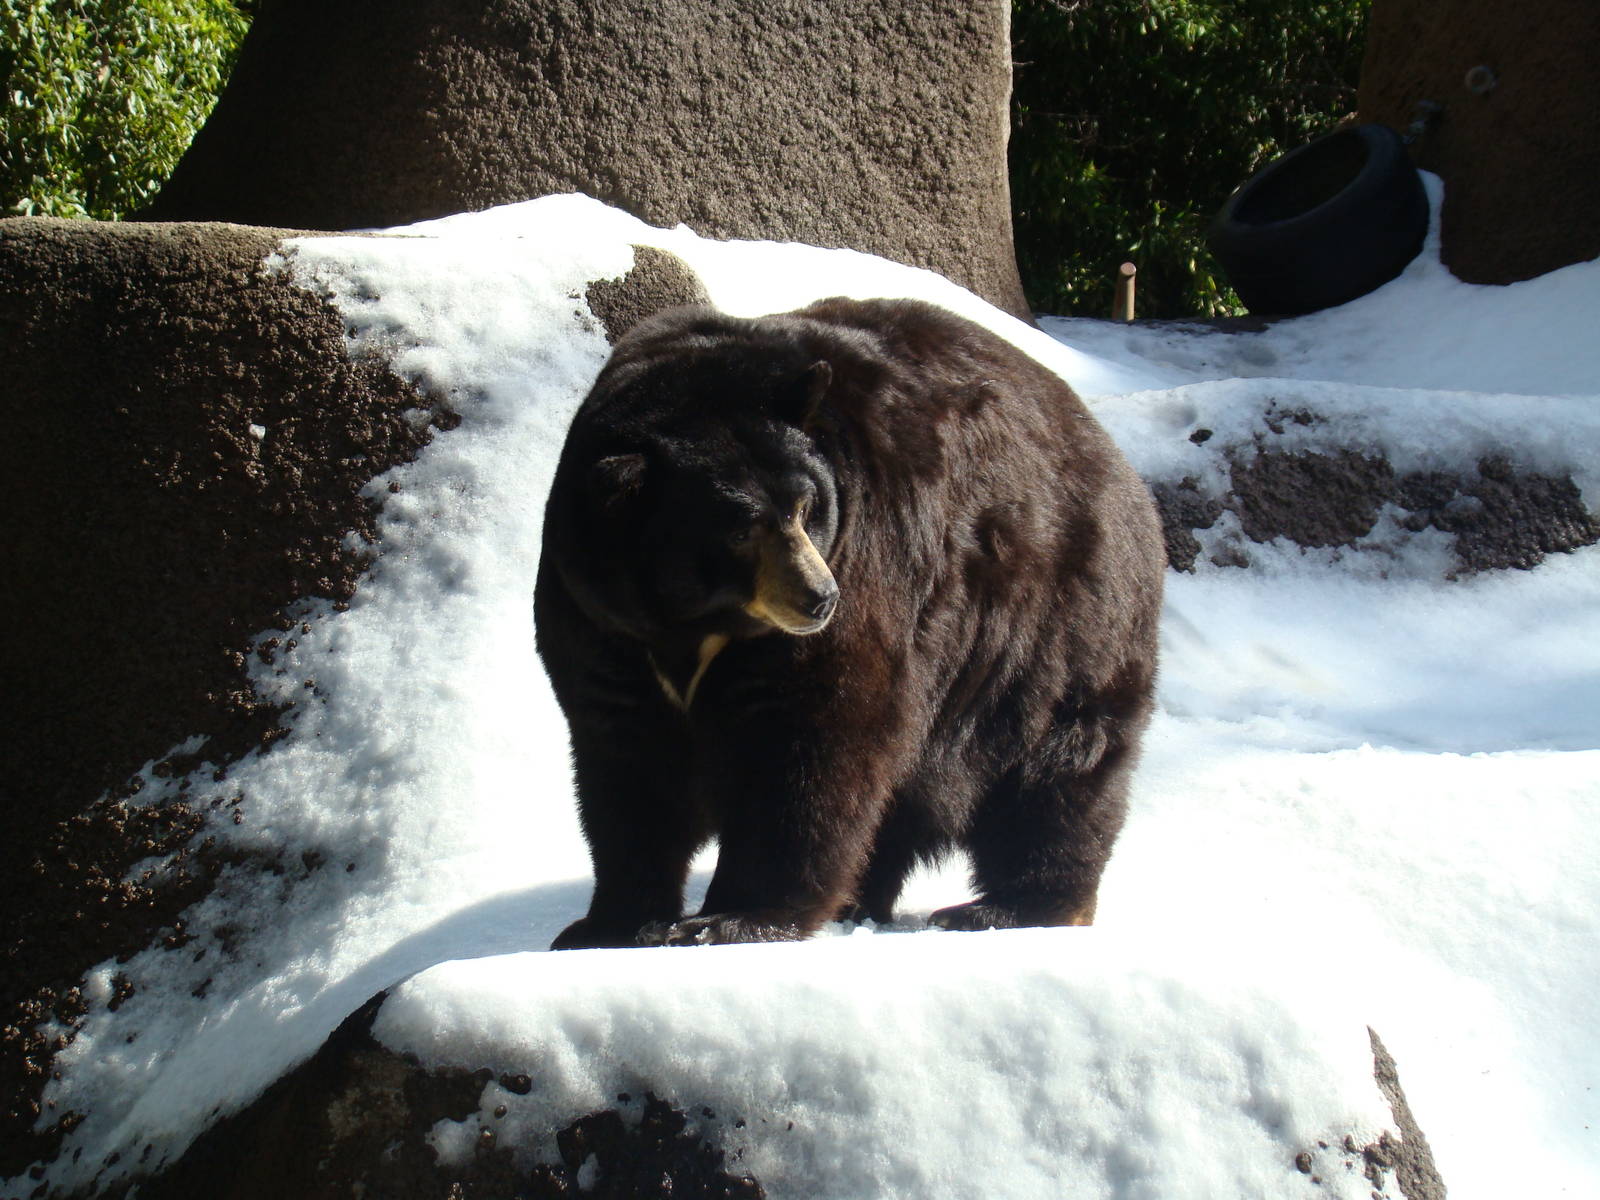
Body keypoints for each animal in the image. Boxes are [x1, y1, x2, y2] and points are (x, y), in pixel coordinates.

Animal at [535, 296, 1164, 950]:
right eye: (741, 528)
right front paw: (605, 922)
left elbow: (814, 731)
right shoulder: (601, 614)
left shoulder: (859, 563)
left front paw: (729, 916)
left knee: (1057, 763)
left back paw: (1011, 905)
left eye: (804, 506)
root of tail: (1111, 454)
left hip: (1051, 624)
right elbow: (626, 760)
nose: (820, 598)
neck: (696, 623)